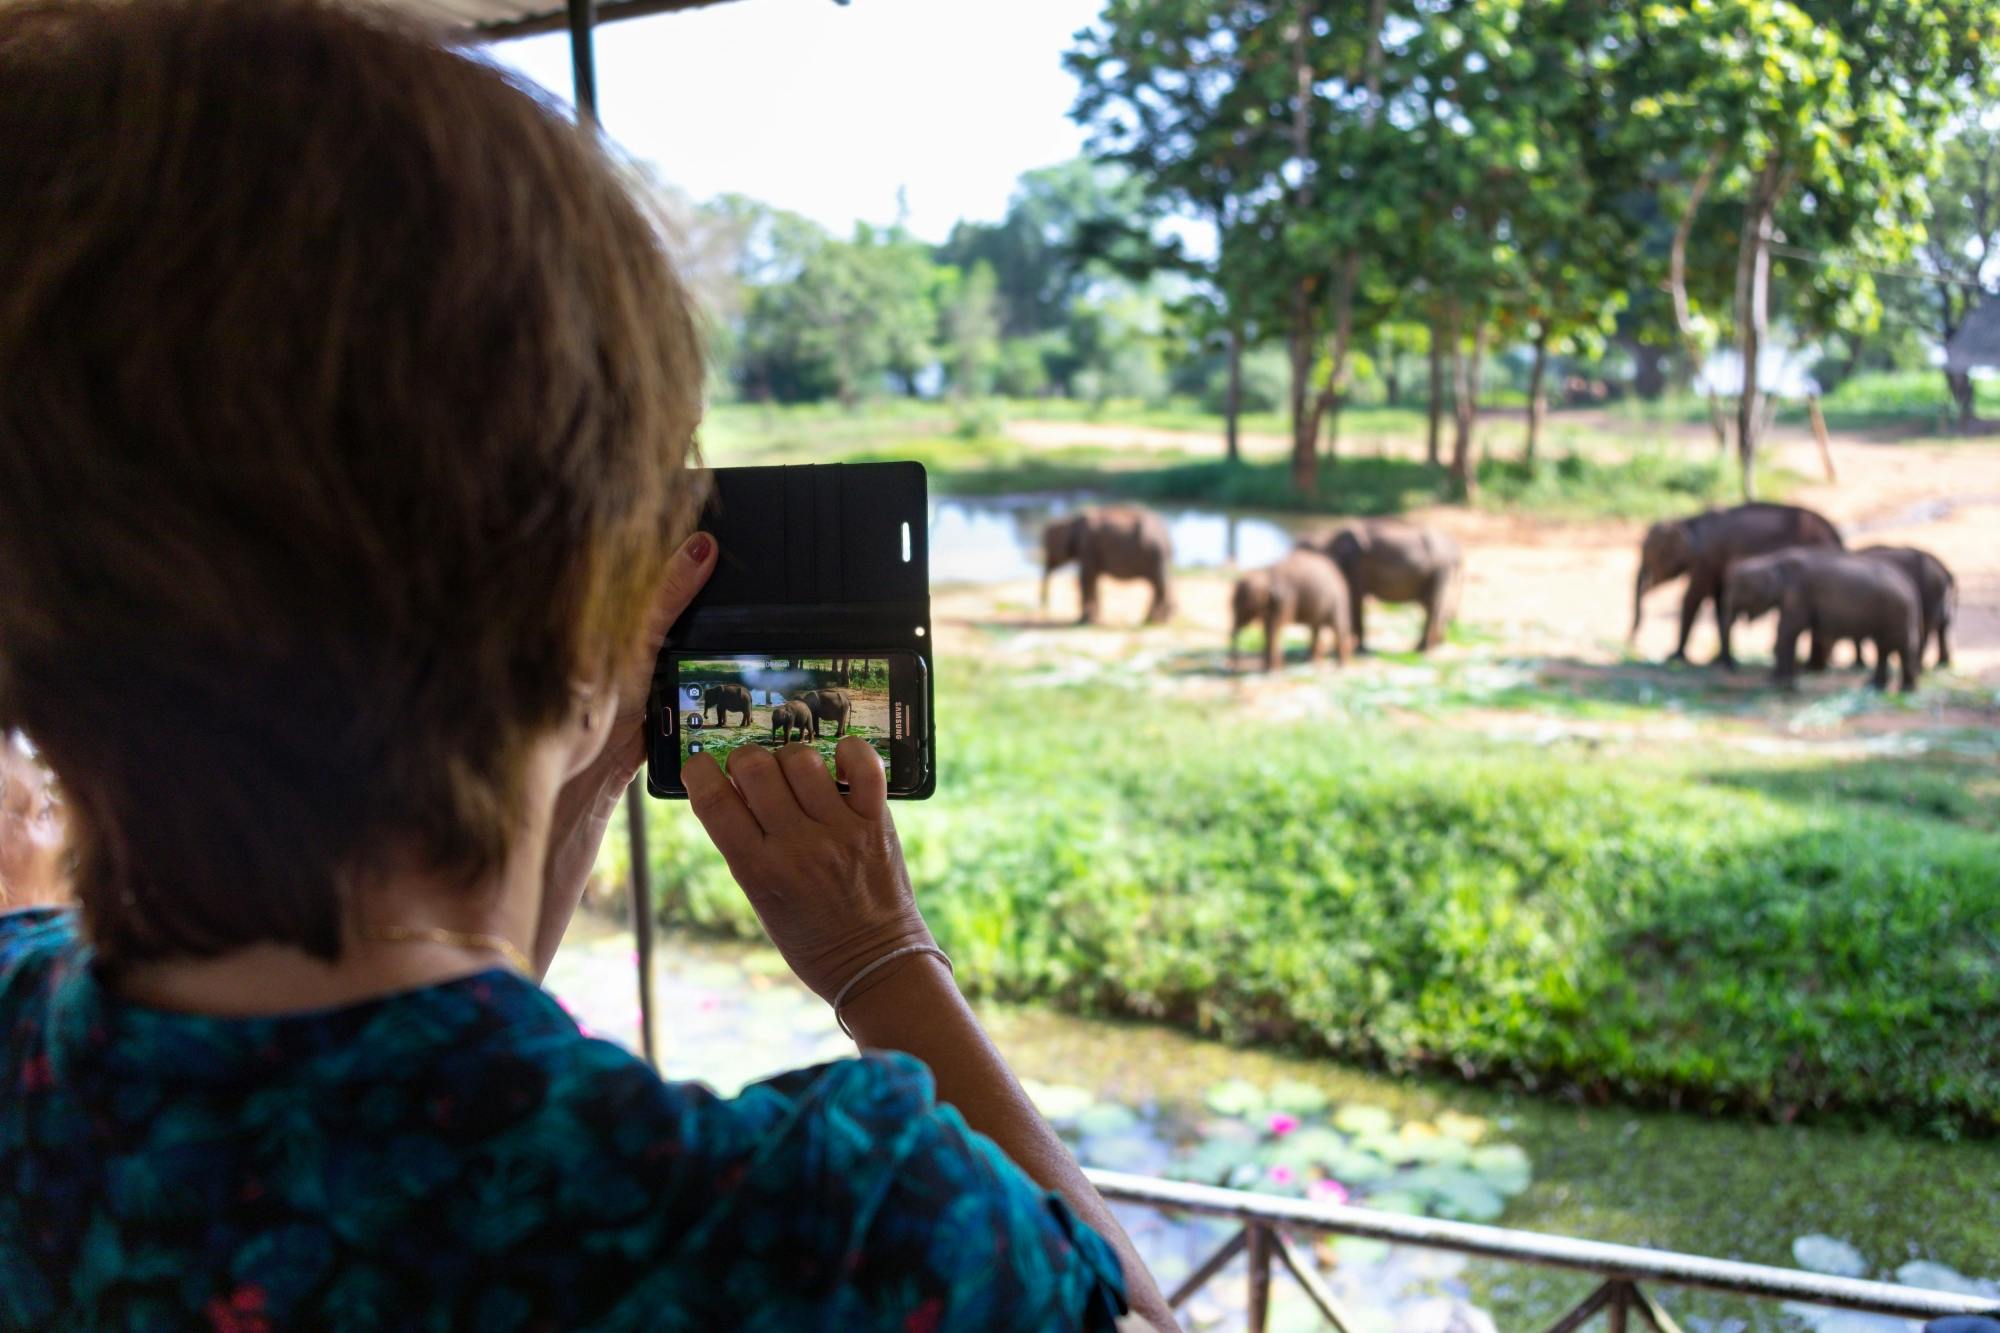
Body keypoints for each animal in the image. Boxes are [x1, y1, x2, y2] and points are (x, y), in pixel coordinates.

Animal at [1040, 504, 1176, 624]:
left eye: (1048, 547)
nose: (1045, 603)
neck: (1070, 520)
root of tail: (1168, 536)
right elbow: (1092, 579)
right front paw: (1092, 620)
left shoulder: (1088, 546)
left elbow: (1086, 578)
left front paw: (1084, 620)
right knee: (1159, 584)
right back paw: (1157, 619)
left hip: (1155, 554)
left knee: (1159, 585)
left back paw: (1154, 620)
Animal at [1224, 544, 1352, 668]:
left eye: (1244, 607)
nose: (1233, 667)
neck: (1265, 571)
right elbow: (1269, 626)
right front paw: (1269, 667)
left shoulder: (1285, 598)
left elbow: (1275, 626)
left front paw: (1273, 669)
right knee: (1316, 627)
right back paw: (1315, 663)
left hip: (1338, 599)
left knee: (1337, 626)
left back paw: (1340, 666)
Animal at [1304, 520, 1464, 648]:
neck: (1326, 538)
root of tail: (1457, 551)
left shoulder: (1355, 567)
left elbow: (1354, 599)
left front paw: (1358, 647)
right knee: (1433, 605)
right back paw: (1433, 644)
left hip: (1439, 570)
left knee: (1433, 605)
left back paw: (1423, 648)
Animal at [1624, 498, 1840, 664]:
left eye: (1649, 557)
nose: (1632, 642)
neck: (1689, 521)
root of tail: (1836, 535)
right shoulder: (1715, 564)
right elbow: (1720, 602)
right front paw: (1722, 661)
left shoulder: (1707, 558)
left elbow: (1692, 597)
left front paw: (1675, 657)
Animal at [1720, 544, 1920, 688]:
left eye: (1740, 589)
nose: (1732, 668)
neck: (1772, 558)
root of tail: (1910, 588)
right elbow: (1789, 631)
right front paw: (1783, 681)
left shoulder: (1798, 593)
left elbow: (1788, 630)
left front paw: (1776, 682)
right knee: (1884, 648)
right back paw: (1875, 686)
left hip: (1896, 613)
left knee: (1898, 647)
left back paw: (1904, 689)